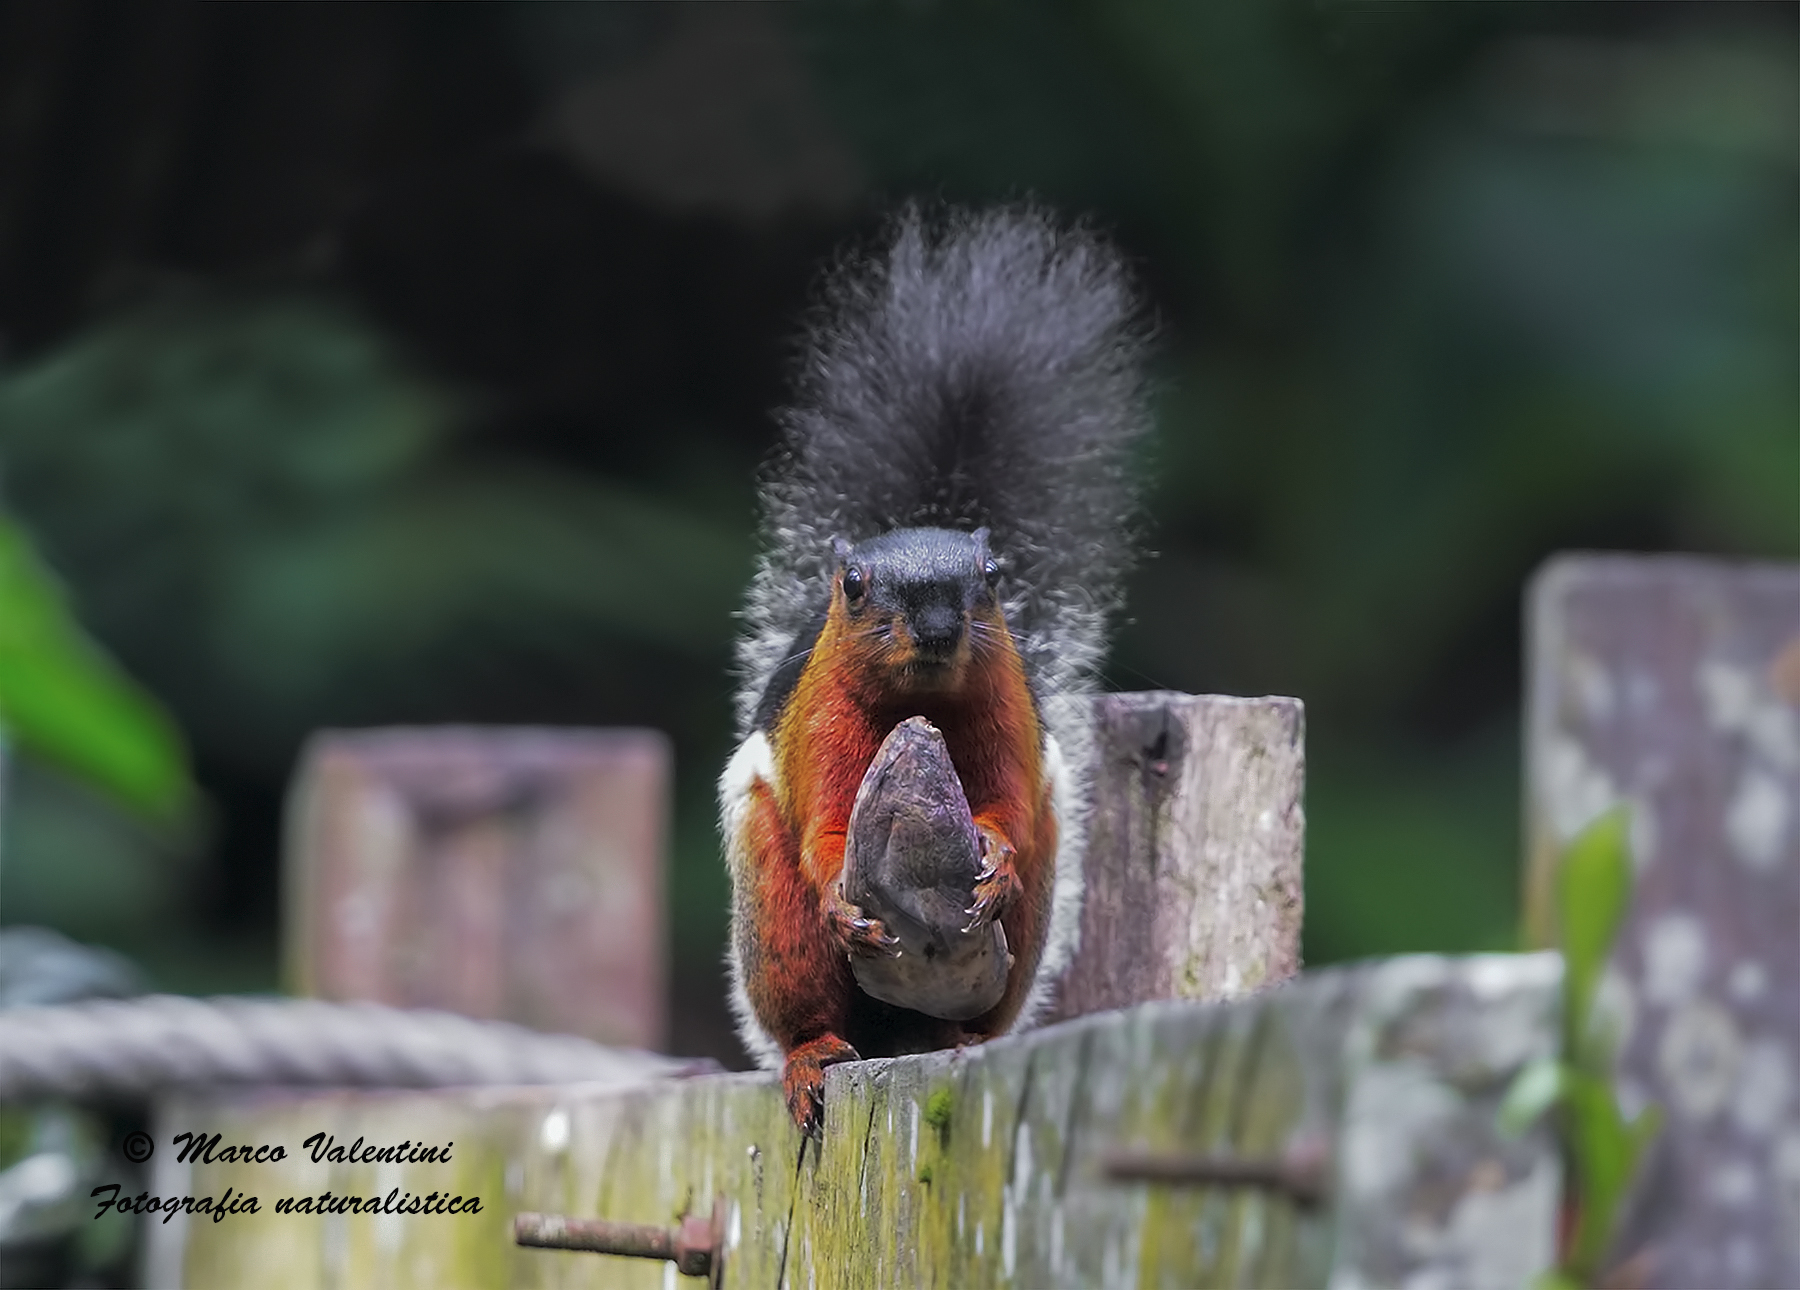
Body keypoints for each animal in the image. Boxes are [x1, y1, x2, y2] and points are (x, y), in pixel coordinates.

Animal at [719, 206, 1150, 1134]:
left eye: (992, 577)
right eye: (851, 585)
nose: (939, 625)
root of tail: (894, 1033)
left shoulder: (1004, 716)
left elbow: (1010, 804)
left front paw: (996, 858)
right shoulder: (822, 727)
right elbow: (823, 832)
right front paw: (841, 891)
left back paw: (954, 1037)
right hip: (777, 930)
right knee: (802, 1001)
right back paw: (811, 1057)